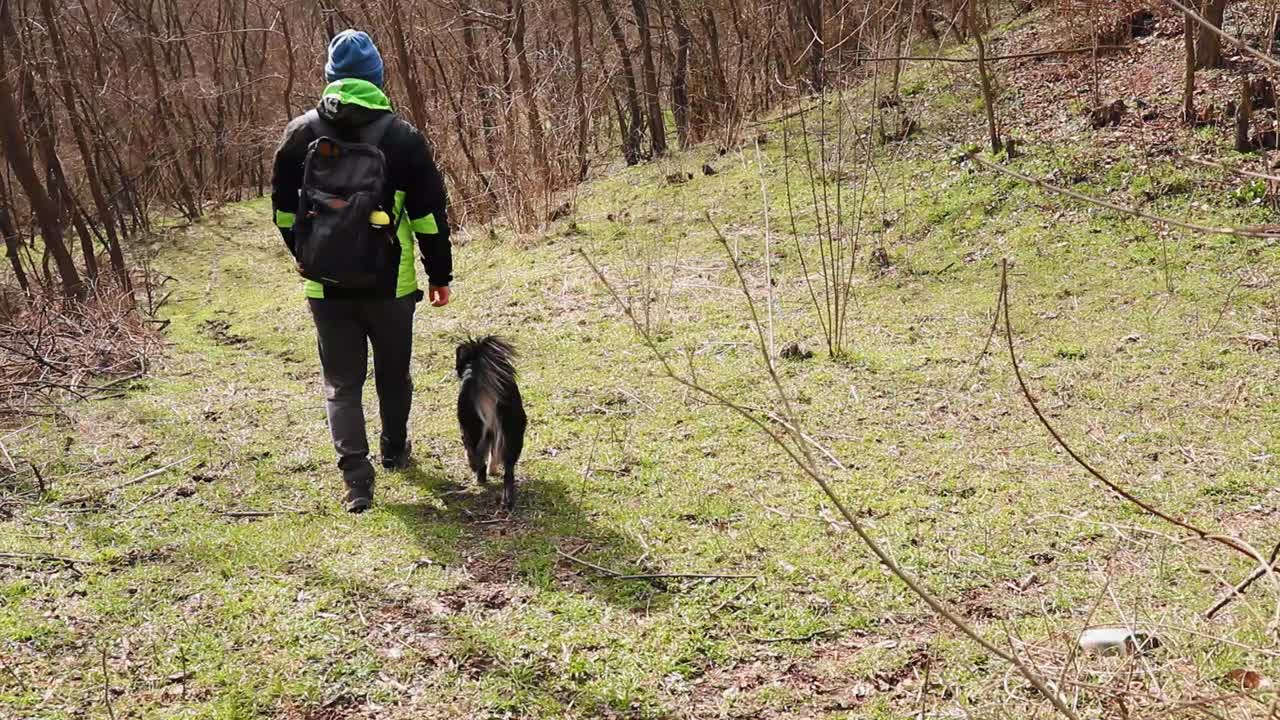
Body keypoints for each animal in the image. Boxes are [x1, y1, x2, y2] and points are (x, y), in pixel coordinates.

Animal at [455, 335, 524, 507]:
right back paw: (508, 500)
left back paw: (480, 479)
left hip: (473, 428)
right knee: (509, 470)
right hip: (513, 427)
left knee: (478, 458)